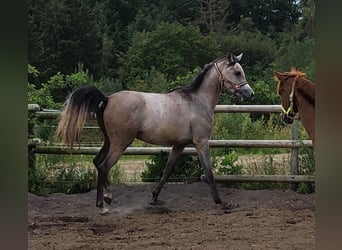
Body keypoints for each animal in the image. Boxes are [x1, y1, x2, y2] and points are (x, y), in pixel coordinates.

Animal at [54, 52, 254, 213]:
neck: (197, 101)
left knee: (97, 162)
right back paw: (102, 206)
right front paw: (221, 202)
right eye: (237, 72)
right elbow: (209, 172)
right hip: (120, 143)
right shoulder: (201, 141)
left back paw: (108, 197)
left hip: (109, 141)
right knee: (104, 166)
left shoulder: (179, 145)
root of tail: (107, 99)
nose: (249, 93)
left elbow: (167, 170)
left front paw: (154, 197)